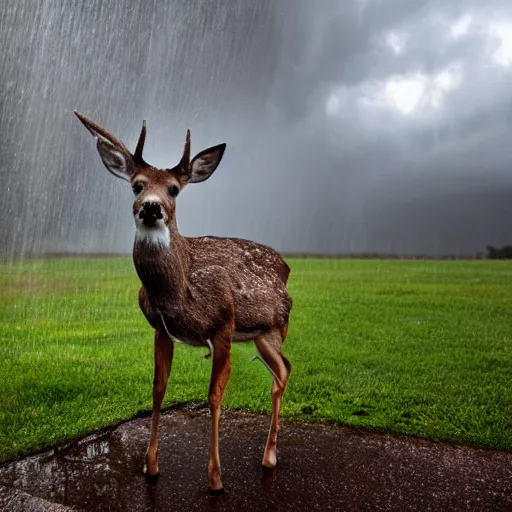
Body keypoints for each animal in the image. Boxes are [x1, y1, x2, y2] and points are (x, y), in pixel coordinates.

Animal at [74, 112, 294, 496]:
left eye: (174, 189)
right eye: (137, 185)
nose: (151, 207)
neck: (178, 294)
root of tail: (287, 269)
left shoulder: (223, 325)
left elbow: (214, 396)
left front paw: (216, 479)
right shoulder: (161, 329)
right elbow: (158, 388)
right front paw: (150, 467)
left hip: (272, 326)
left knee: (281, 372)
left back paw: (268, 457)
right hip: (260, 336)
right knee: (284, 369)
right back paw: (269, 454)